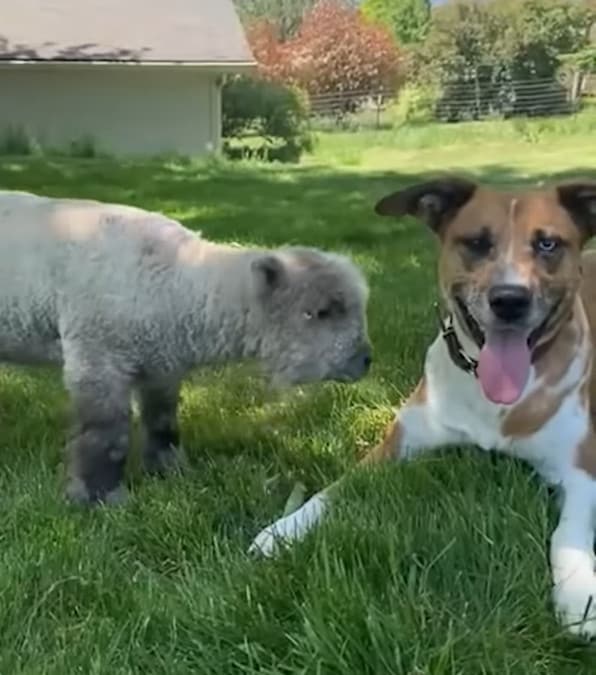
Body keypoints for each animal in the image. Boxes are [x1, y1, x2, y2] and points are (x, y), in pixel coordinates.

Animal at [0, 190, 370, 508]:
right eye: (316, 313)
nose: (365, 360)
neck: (180, 283)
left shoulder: (161, 364)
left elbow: (163, 422)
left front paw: (170, 472)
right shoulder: (98, 357)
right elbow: (106, 436)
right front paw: (99, 497)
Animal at [250, 174, 596, 640]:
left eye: (548, 244)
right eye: (476, 242)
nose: (510, 299)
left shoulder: (582, 470)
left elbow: (568, 534)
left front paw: (579, 594)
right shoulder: (395, 446)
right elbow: (332, 491)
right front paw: (281, 530)